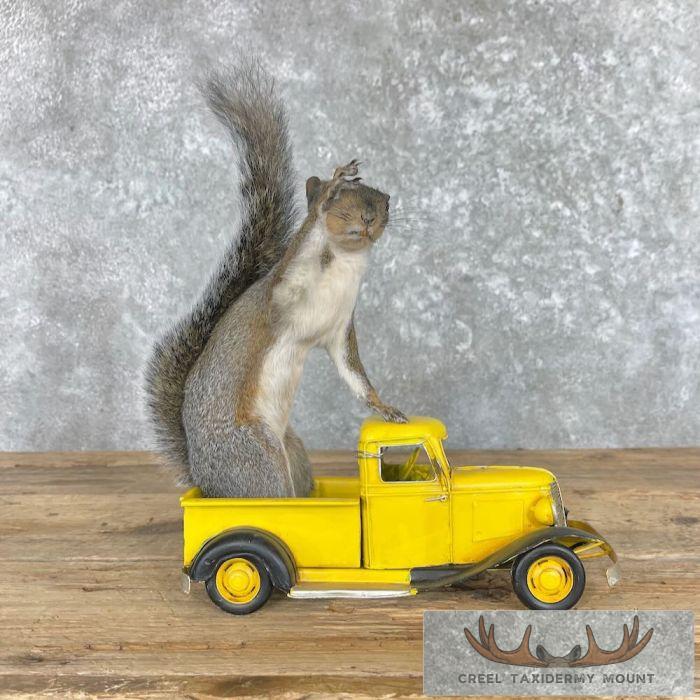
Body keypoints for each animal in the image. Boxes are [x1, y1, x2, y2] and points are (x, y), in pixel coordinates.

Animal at [144, 62, 407, 498]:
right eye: (339, 201)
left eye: (384, 198)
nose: (370, 216)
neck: (344, 262)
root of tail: (208, 483)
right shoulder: (284, 289)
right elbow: (304, 242)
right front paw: (333, 184)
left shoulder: (338, 330)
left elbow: (353, 373)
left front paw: (384, 407)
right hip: (257, 457)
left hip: (291, 449)